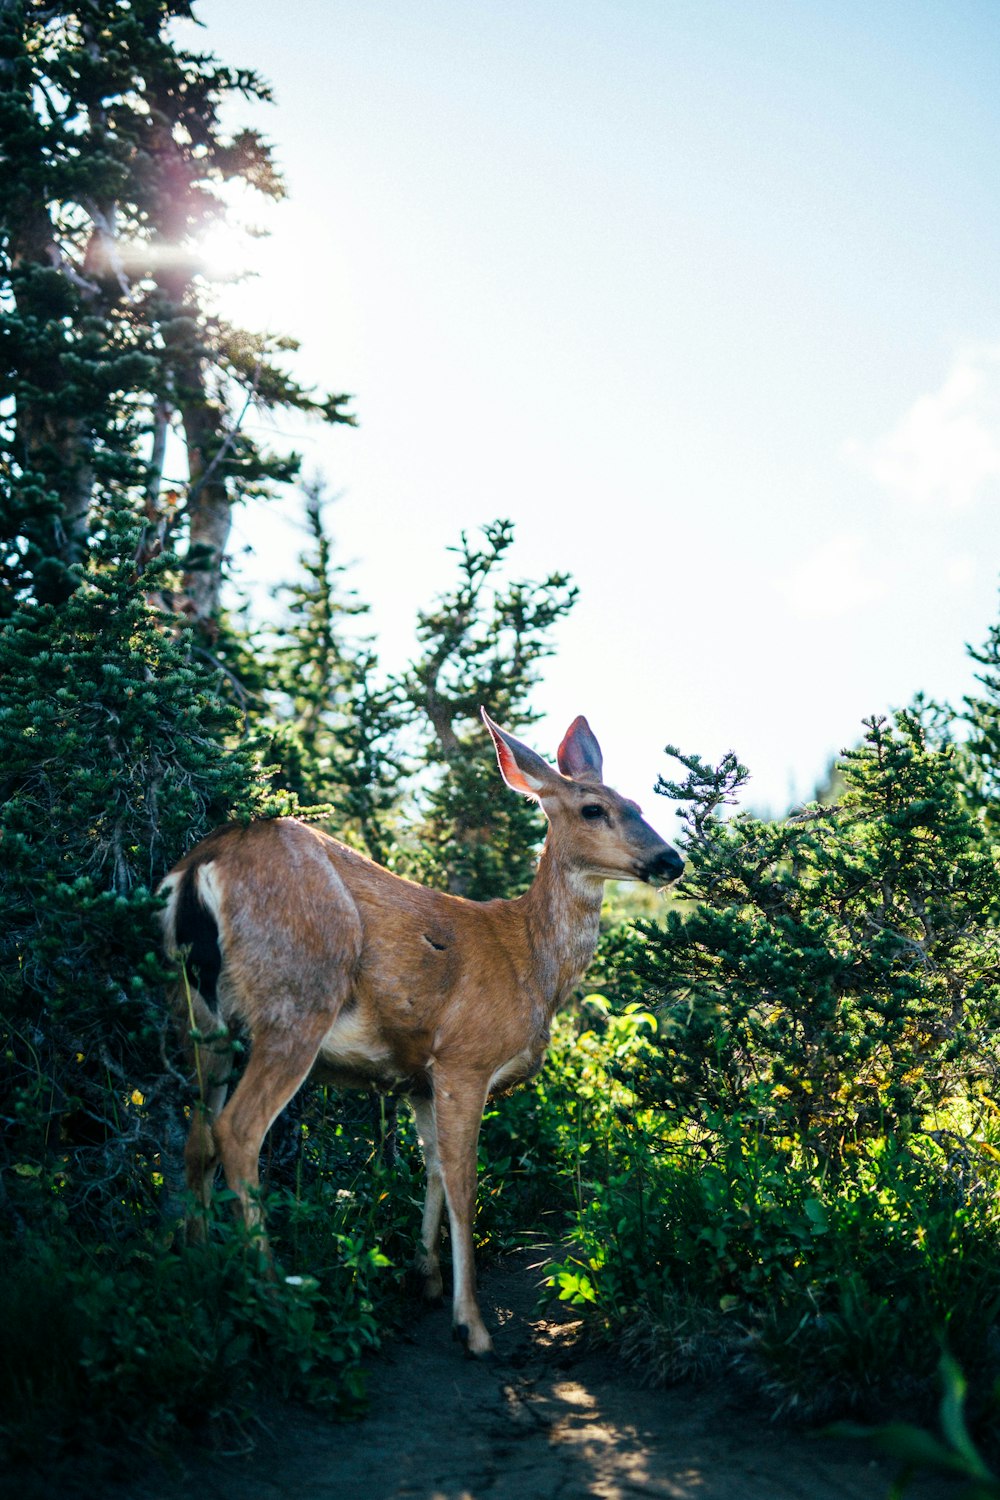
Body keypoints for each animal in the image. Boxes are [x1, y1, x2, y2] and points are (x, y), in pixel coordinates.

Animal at [158, 708, 689, 1356]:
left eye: (637, 803)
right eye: (594, 809)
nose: (671, 861)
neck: (528, 958)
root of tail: (199, 867)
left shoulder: (417, 1078)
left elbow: (432, 1165)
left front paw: (426, 1277)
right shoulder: (465, 1056)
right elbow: (464, 1179)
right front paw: (472, 1322)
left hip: (198, 1017)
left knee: (196, 1136)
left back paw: (200, 1270)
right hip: (298, 998)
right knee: (237, 1131)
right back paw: (275, 1299)